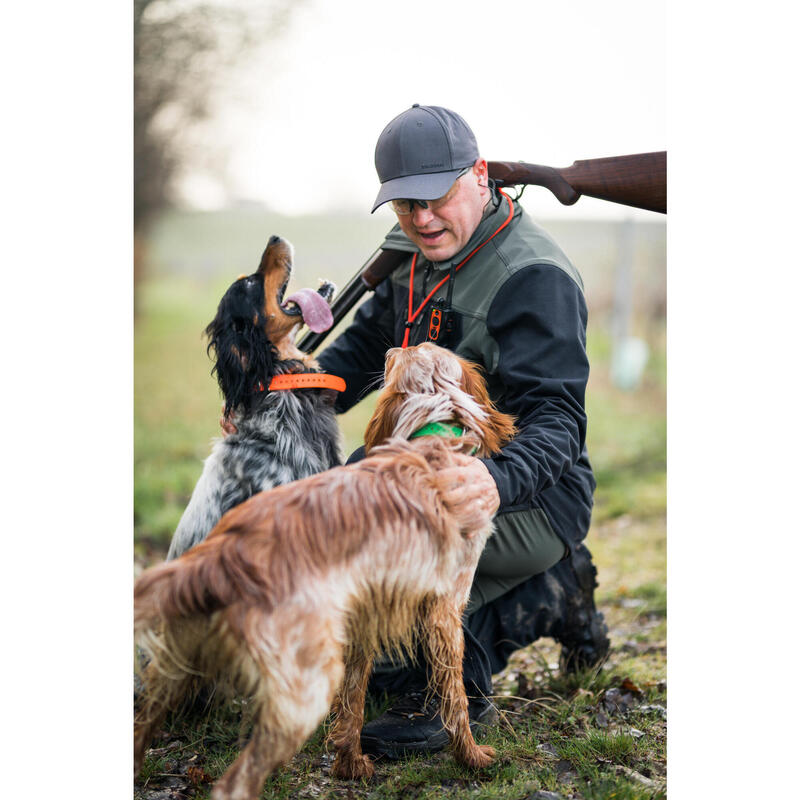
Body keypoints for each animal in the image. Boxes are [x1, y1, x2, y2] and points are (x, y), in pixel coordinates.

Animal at [134, 340, 516, 796]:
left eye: (409, 351)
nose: (391, 345)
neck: (431, 446)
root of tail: (225, 554)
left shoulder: (366, 617)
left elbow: (352, 702)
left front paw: (349, 765)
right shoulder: (445, 611)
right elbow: (453, 696)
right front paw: (472, 757)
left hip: (173, 672)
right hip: (302, 690)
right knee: (234, 782)